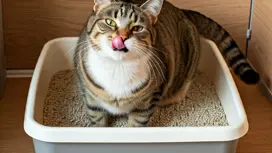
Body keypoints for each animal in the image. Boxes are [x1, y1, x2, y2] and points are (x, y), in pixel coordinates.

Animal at [73, 0, 260, 126]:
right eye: (110, 22)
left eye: (137, 28)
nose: (122, 37)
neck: (118, 67)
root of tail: (181, 10)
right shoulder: (91, 100)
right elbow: (97, 120)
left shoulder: (147, 102)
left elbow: (136, 124)